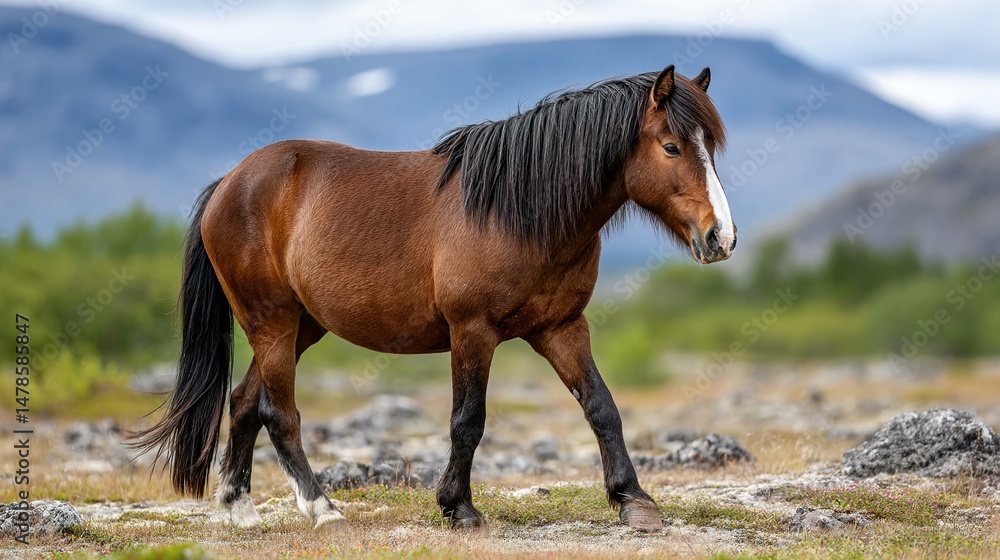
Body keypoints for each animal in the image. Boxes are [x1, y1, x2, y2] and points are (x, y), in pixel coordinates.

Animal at [128, 64, 736, 533]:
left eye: (710, 147)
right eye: (672, 146)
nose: (721, 238)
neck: (519, 212)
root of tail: (229, 182)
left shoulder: (562, 328)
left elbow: (601, 406)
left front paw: (634, 501)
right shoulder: (472, 330)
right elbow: (468, 418)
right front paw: (458, 507)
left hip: (300, 326)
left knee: (244, 403)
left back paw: (239, 507)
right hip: (271, 321)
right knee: (280, 413)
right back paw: (322, 508)